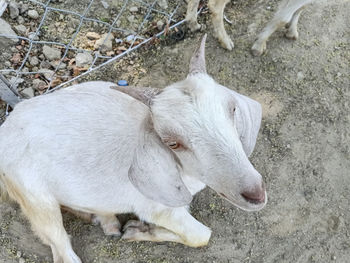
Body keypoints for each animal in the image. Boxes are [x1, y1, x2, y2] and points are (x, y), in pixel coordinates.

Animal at [0, 35, 266, 263]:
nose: (255, 193)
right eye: (172, 143)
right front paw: (139, 231)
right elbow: (201, 235)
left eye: (232, 109)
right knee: (60, 248)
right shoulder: (158, 207)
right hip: (37, 200)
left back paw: (105, 220)